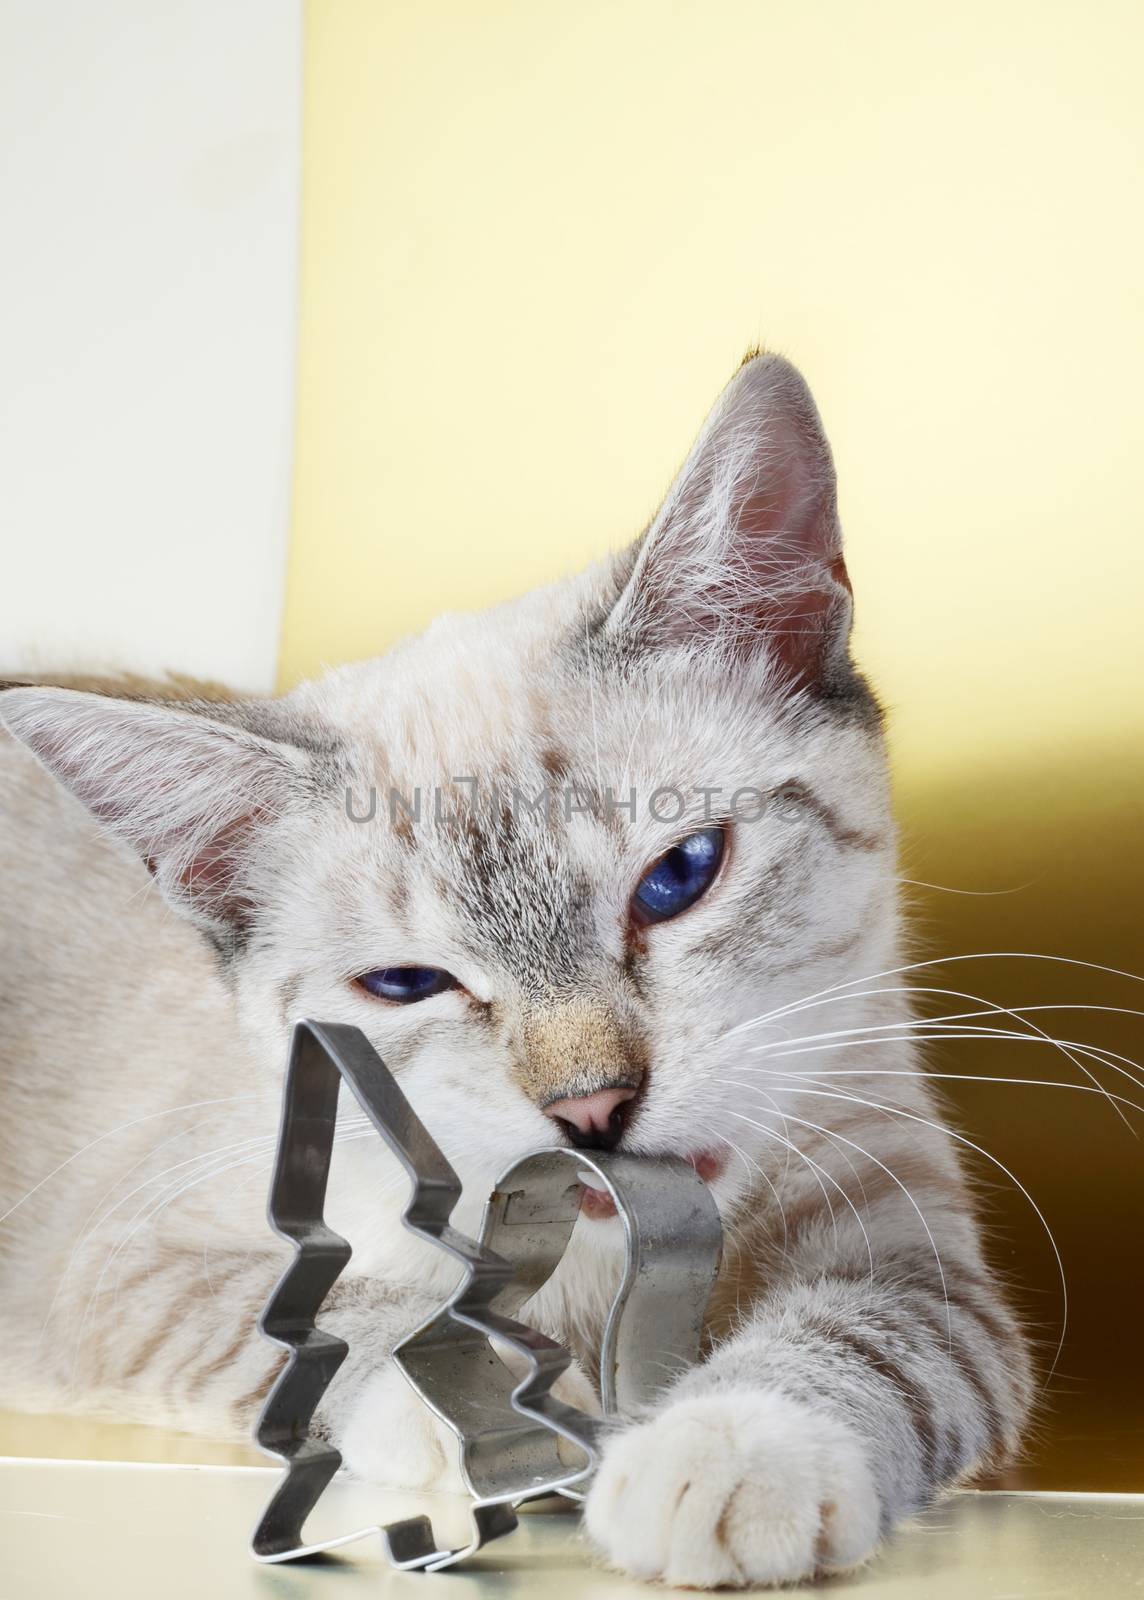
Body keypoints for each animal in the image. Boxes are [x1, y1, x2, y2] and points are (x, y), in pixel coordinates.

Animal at [0, 353, 1036, 1587]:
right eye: (409, 985)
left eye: (677, 877)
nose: (590, 1108)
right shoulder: (128, 1269)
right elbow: (348, 1317)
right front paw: (489, 1408)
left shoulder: (908, 1247)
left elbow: (859, 1344)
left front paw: (717, 1459)